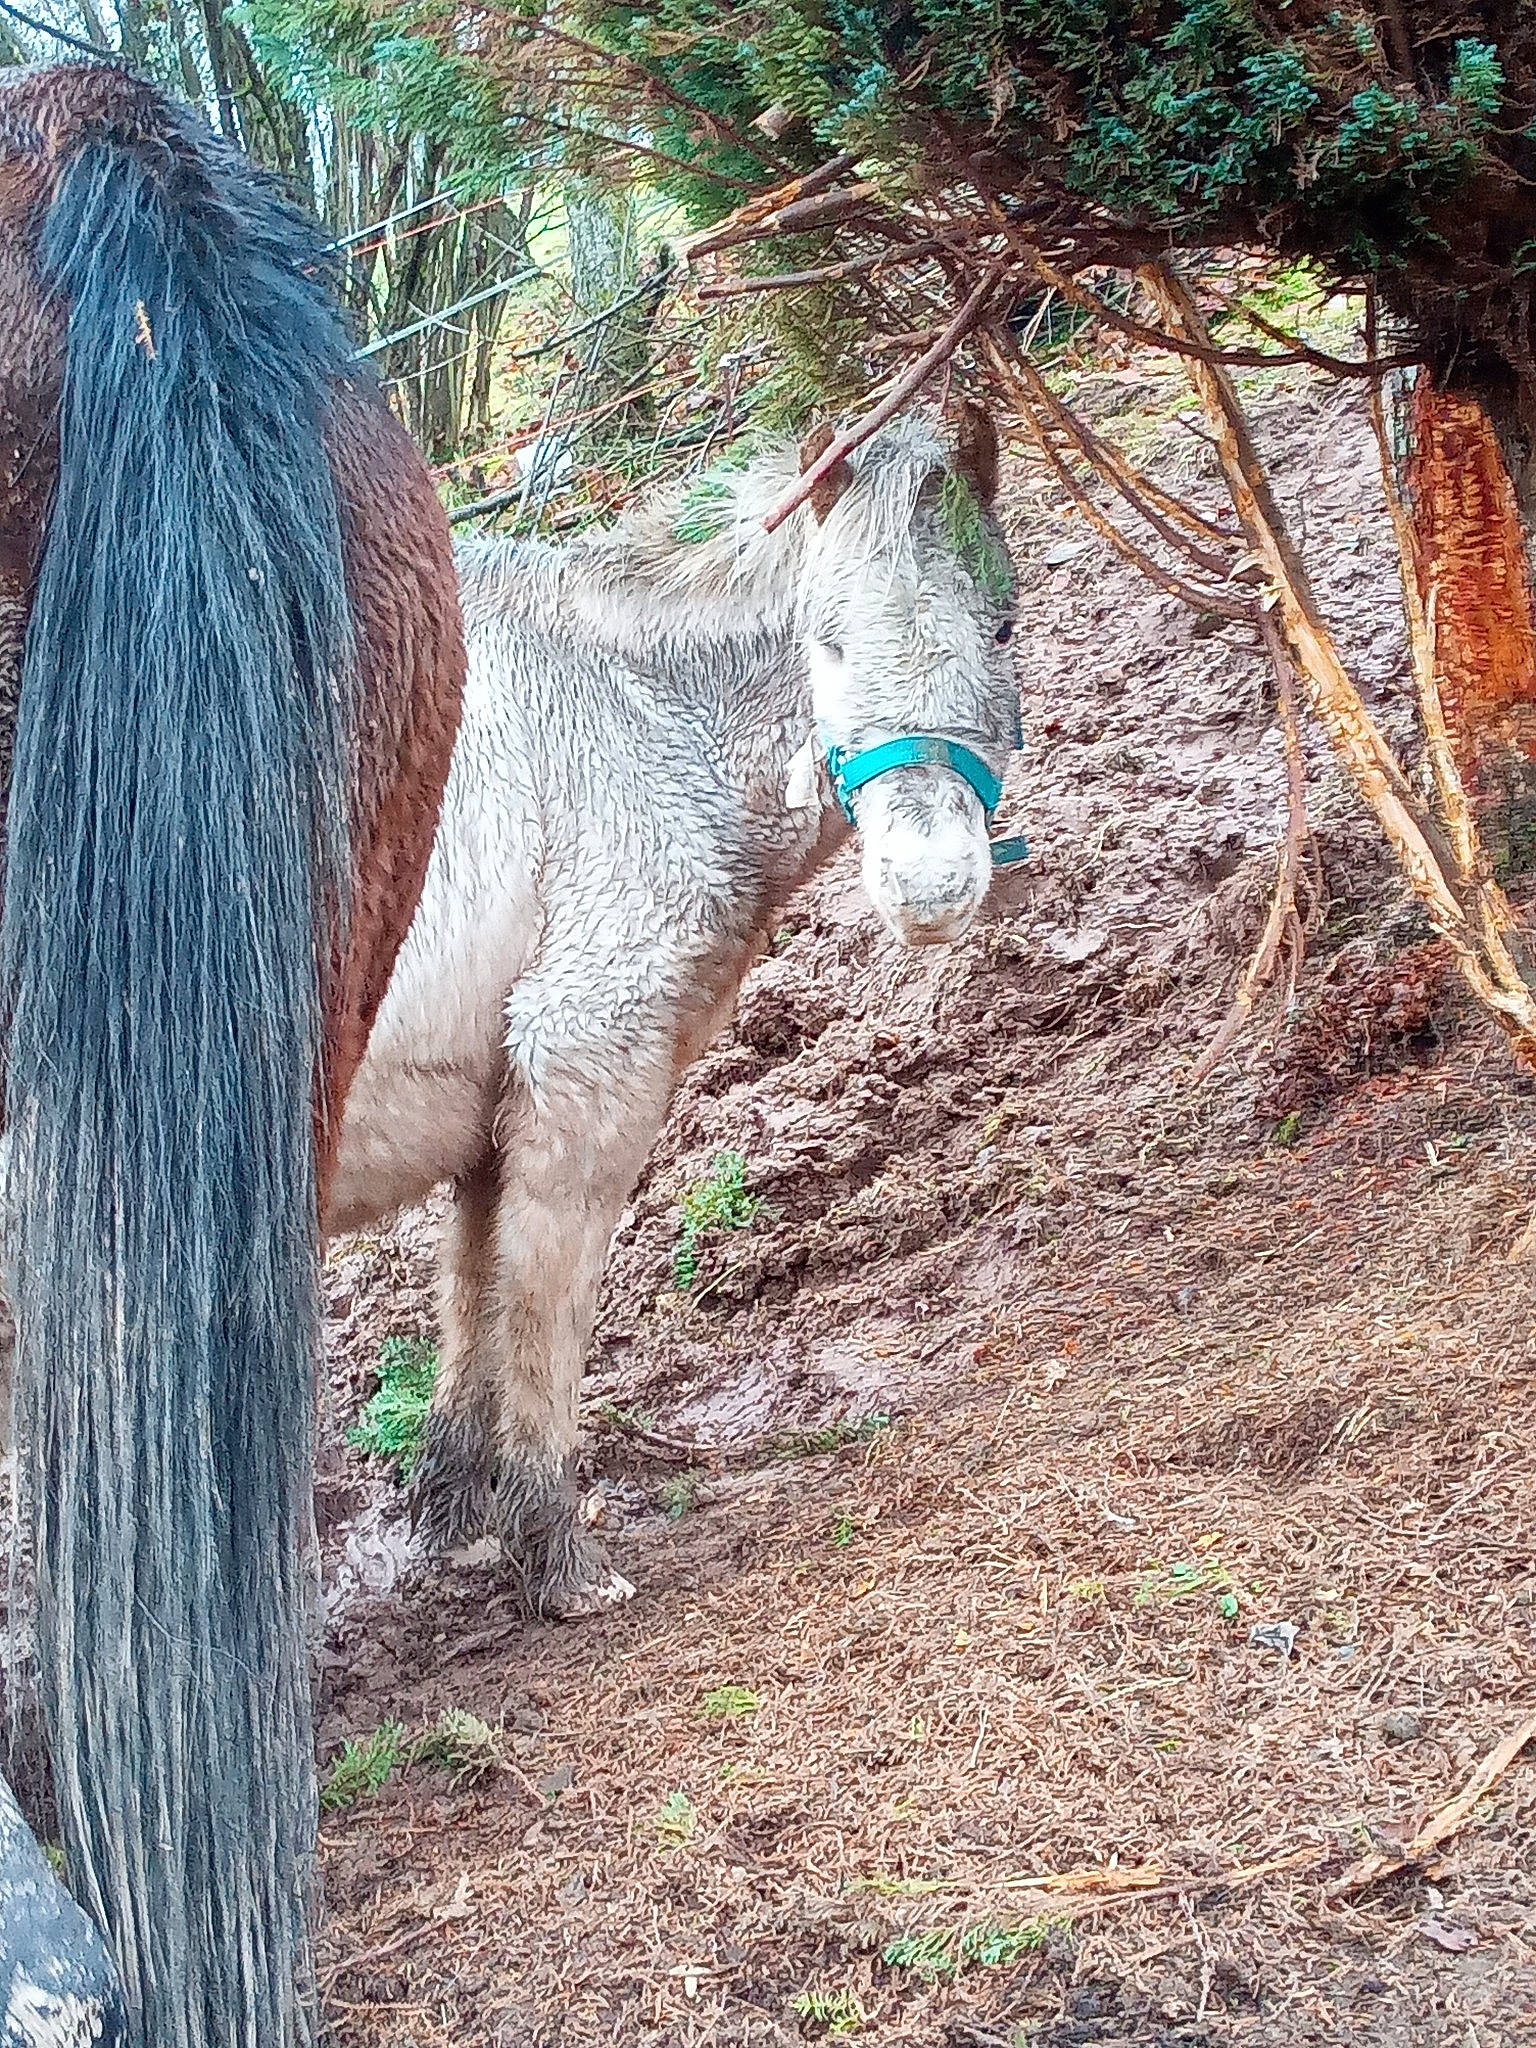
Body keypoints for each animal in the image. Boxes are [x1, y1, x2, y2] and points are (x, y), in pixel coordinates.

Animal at [328, 408, 1024, 1617]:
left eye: (1001, 623)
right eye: (828, 642)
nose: (929, 884)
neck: (631, 711)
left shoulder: (494, 1118)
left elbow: (475, 1297)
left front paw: (455, 1522)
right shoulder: (588, 1075)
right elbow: (548, 1313)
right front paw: (559, 1555)